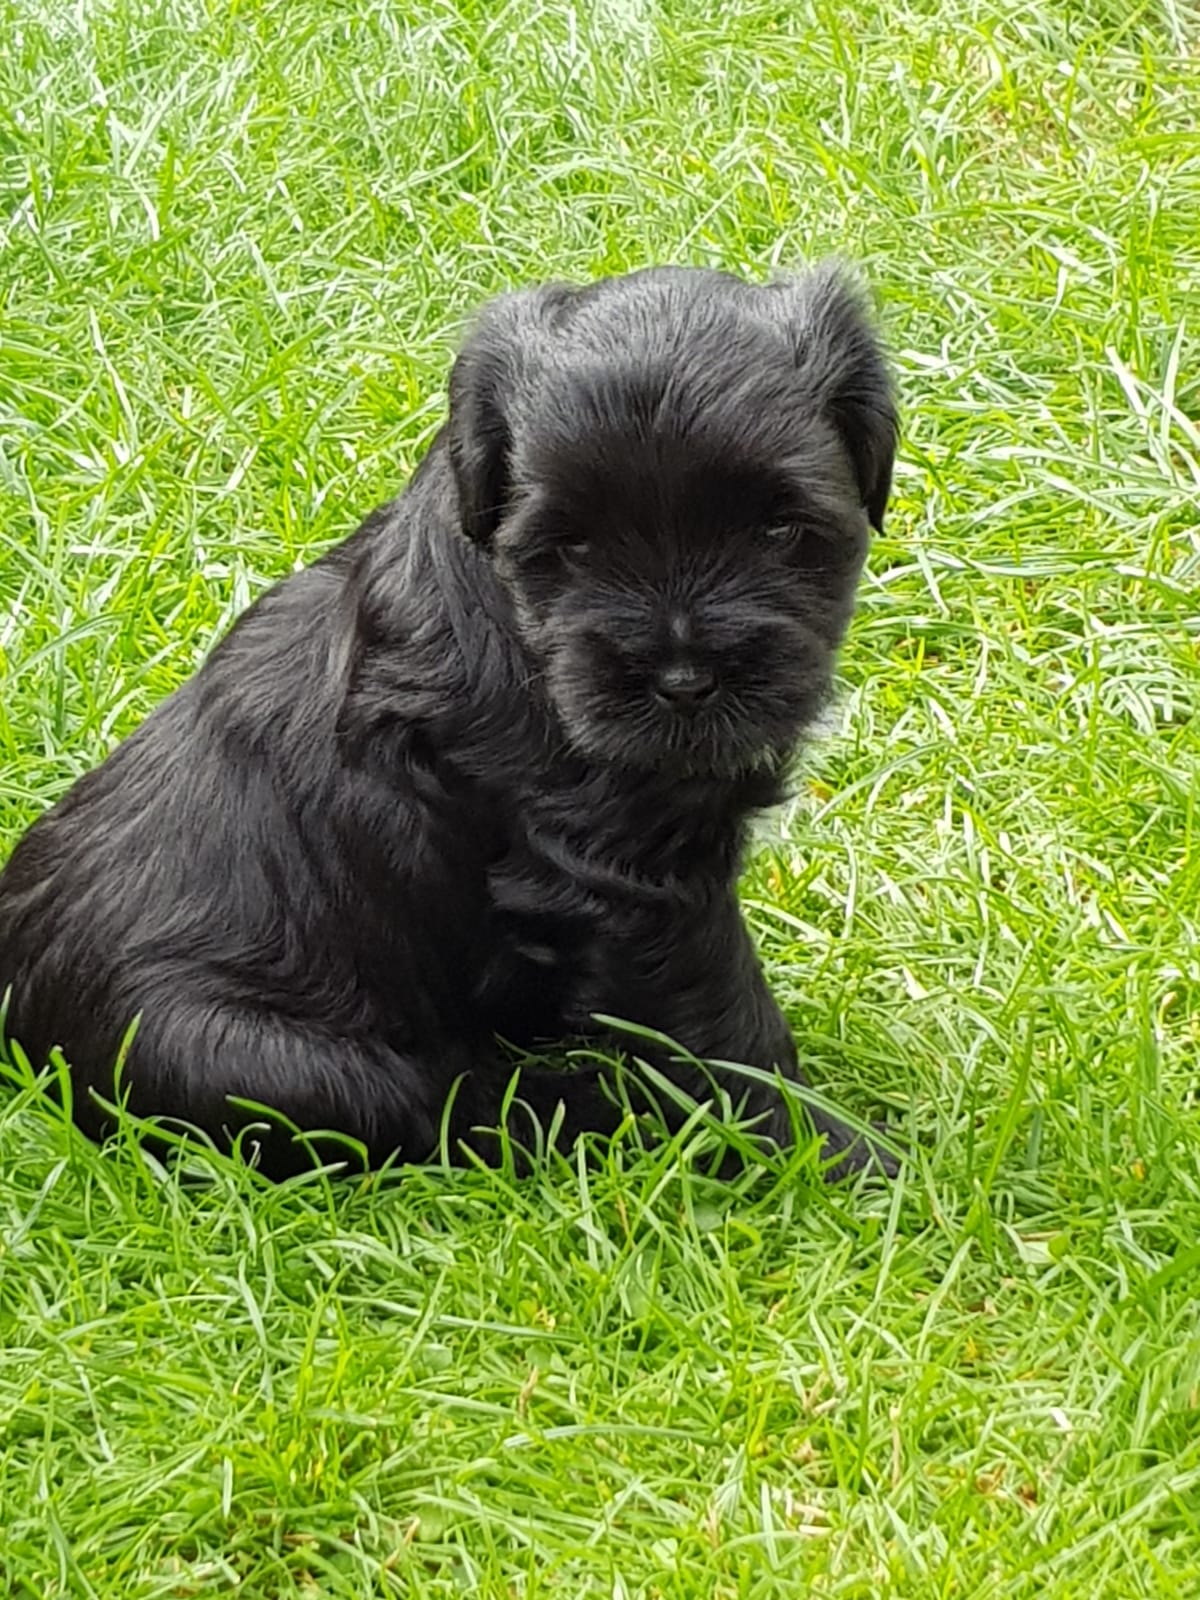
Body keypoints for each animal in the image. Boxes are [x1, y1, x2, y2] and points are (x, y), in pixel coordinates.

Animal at [0, 262, 899, 1179]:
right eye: (571, 547)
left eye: (779, 529)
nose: (684, 682)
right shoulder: (630, 884)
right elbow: (727, 1030)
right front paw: (832, 1155)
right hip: (248, 1061)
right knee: (447, 1108)